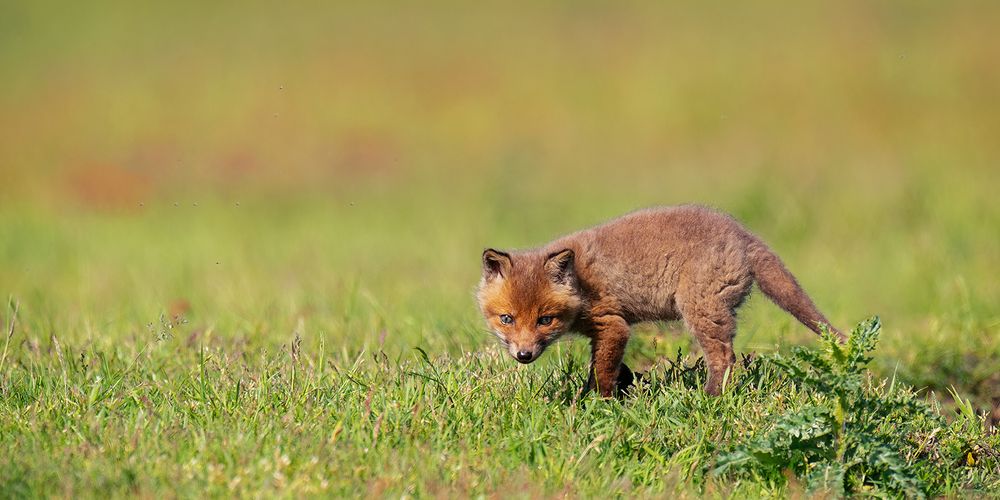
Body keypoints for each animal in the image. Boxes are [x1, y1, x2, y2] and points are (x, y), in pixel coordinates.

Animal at [476, 205, 844, 396]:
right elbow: (604, 370)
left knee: (724, 359)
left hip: (701, 311)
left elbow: (603, 373)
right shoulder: (604, 332)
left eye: (545, 320)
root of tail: (743, 234)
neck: (580, 284)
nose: (524, 355)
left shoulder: (613, 324)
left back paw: (709, 399)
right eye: (507, 319)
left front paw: (601, 404)